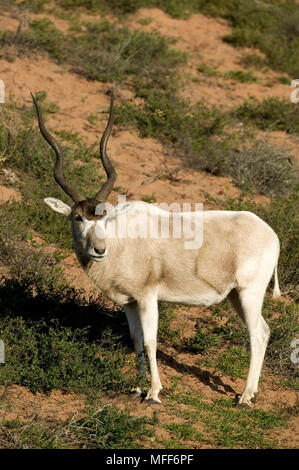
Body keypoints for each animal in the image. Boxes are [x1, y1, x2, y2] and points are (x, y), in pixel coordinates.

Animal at [31, 90, 282, 406]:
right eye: (78, 217)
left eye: (103, 217)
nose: (99, 250)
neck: (122, 240)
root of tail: (271, 234)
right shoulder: (128, 302)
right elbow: (137, 340)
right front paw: (138, 387)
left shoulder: (148, 297)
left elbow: (151, 342)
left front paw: (154, 392)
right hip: (236, 295)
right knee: (264, 330)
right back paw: (250, 392)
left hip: (249, 292)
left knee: (258, 333)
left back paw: (245, 396)